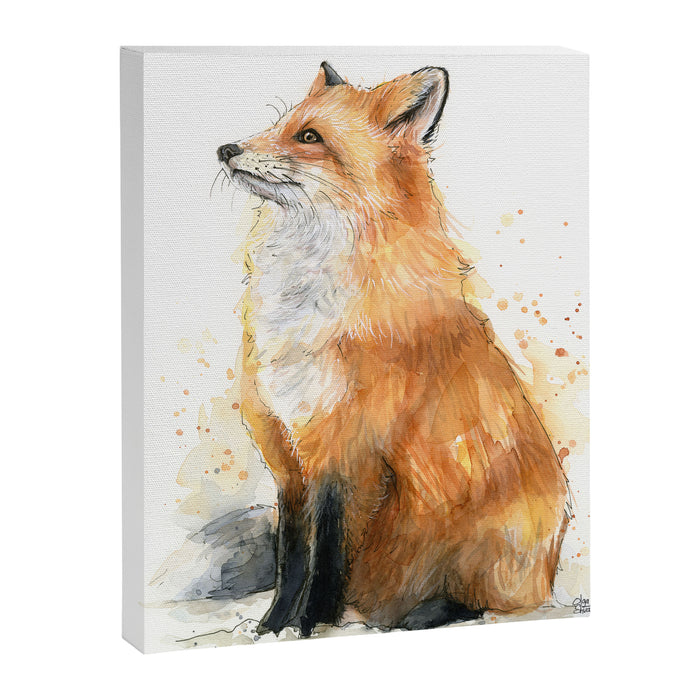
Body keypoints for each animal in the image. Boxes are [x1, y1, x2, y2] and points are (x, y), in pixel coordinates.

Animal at [216, 62, 570, 637]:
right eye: (280, 125)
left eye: (309, 137)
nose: (226, 148)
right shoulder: (288, 457)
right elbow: (292, 557)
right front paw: (273, 627)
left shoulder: (349, 453)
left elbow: (327, 556)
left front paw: (312, 624)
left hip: (496, 539)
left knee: (486, 603)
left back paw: (423, 616)